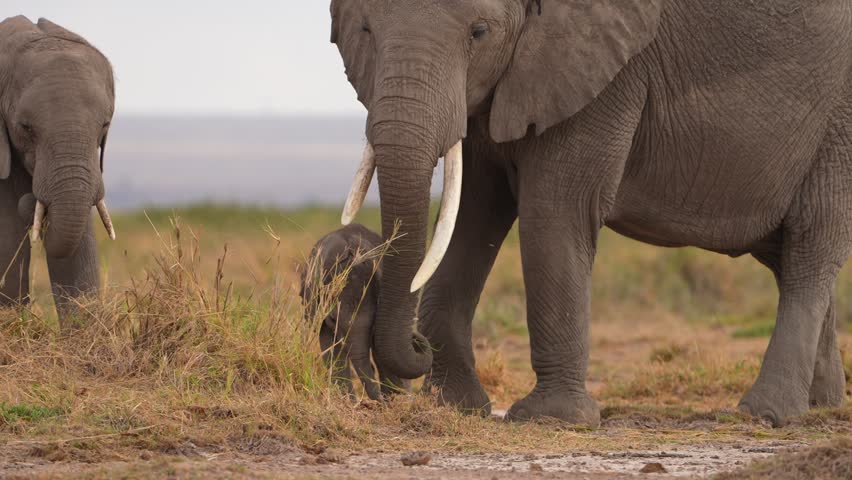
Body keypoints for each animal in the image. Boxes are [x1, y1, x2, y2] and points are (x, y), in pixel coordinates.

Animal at [330, 0, 852, 427]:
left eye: (479, 32)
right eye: (365, 29)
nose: (415, 346)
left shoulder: (604, 73)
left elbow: (556, 208)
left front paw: (552, 419)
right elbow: (474, 210)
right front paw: (456, 407)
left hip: (840, 126)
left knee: (811, 246)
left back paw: (767, 414)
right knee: (786, 255)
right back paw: (821, 406)